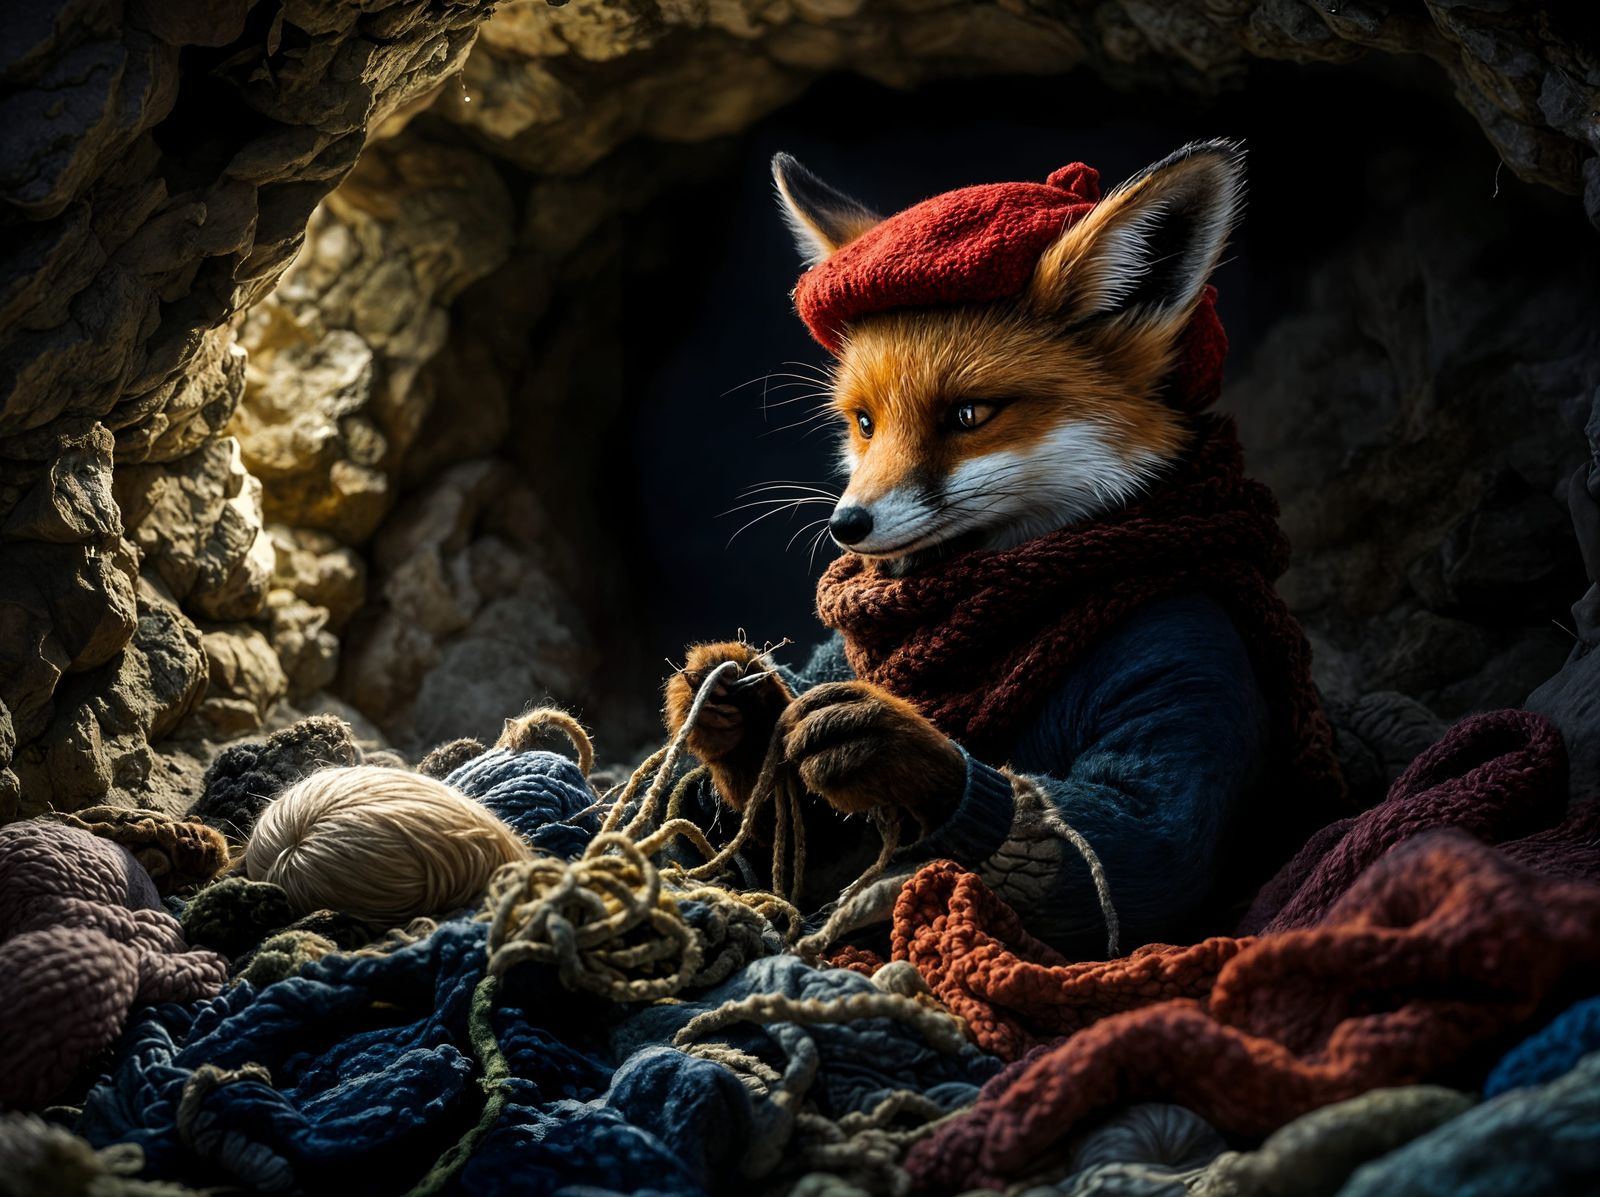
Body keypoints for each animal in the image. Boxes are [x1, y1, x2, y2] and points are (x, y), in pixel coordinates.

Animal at [665, 142, 1342, 950]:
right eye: (864, 422)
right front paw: (732, 717)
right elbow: (792, 857)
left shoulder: (1190, 642)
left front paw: (892, 747)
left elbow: (1138, 861)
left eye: (967, 415)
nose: (845, 525)